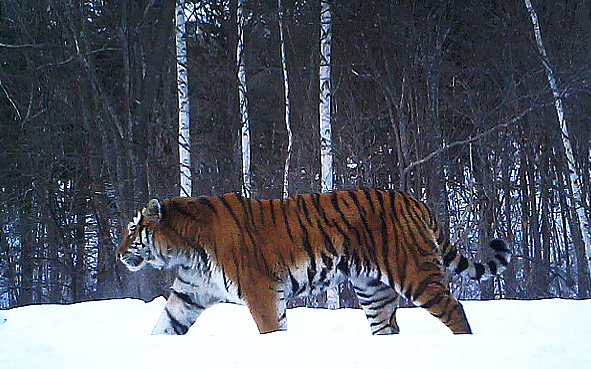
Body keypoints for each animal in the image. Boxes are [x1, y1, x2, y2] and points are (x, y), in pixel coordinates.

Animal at [118, 188, 512, 334]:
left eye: (132, 228)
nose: (119, 254)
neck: (184, 252)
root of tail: (413, 200)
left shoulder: (262, 292)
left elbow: (271, 330)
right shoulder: (188, 296)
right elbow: (164, 327)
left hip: (415, 273)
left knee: (455, 310)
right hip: (374, 291)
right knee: (388, 326)